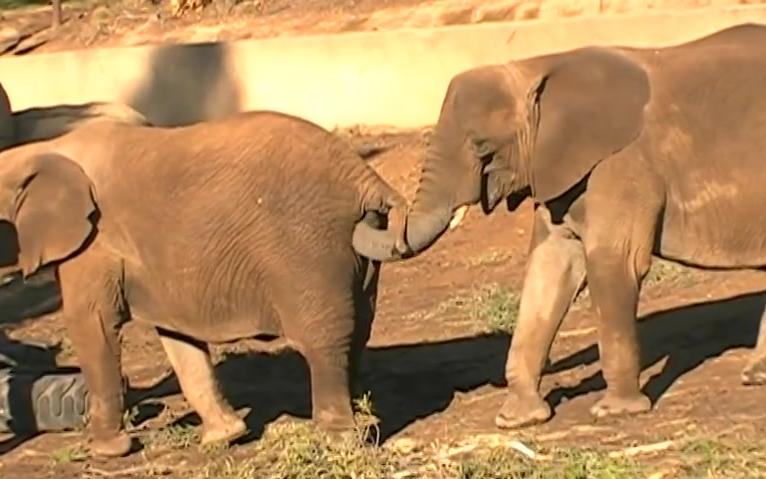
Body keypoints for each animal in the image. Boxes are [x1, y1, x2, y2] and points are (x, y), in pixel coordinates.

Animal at [0, 110, 412, 460]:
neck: (37, 151)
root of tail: (366, 180)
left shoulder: (93, 244)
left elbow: (93, 325)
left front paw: (107, 451)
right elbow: (177, 336)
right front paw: (224, 438)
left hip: (309, 248)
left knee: (323, 339)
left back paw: (338, 442)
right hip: (357, 251)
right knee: (357, 330)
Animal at [364, 22, 766, 430]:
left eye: (480, 146)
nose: (377, 209)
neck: (537, 68)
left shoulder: (622, 166)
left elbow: (612, 263)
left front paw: (613, 412)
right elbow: (549, 268)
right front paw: (516, 421)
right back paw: (756, 376)